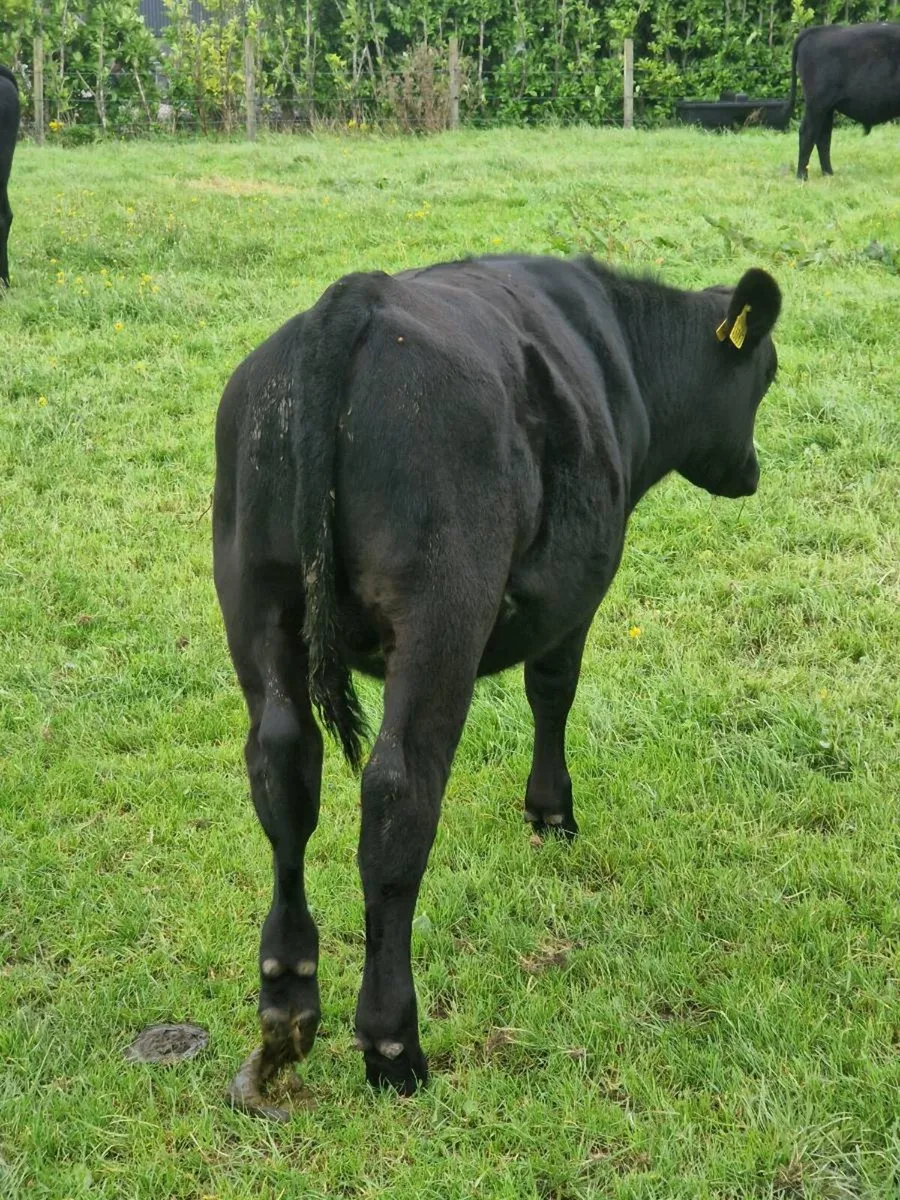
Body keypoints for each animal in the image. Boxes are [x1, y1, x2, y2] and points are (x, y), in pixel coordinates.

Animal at [212, 253, 782, 1116]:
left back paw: (287, 1004)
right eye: (768, 373)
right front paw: (552, 813)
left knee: (283, 769)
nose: (751, 474)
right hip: (443, 603)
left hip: (256, 595)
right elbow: (554, 690)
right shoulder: (575, 592)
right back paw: (393, 1046)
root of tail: (353, 302)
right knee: (399, 793)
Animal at [785, 22, 900, 180]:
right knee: (807, 133)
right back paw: (802, 176)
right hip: (817, 104)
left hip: (827, 108)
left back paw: (828, 173)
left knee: (823, 137)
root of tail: (817, 30)